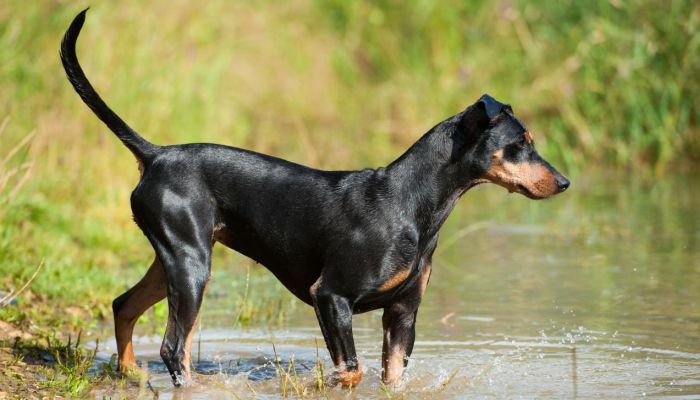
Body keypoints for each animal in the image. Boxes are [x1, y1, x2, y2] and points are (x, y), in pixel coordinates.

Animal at [61, 9, 568, 390]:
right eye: (519, 144)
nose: (564, 182)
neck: (411, 204)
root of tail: (156, 154)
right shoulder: (330, 296)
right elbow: (352, 371)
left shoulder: (403, 314)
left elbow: (390, 378)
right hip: (191, 265)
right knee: (174, 348)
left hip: (174, 257)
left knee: (123, 305)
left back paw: (129, 374)